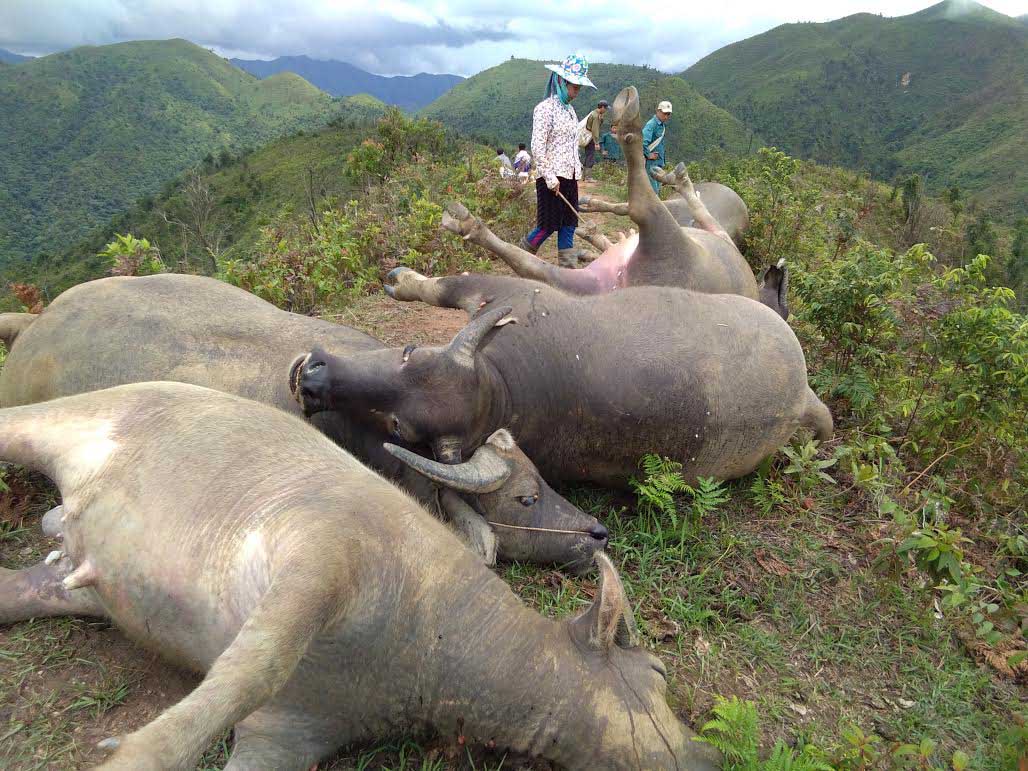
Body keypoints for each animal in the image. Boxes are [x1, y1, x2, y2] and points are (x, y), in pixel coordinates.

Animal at [0, 384, 723, 771]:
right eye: (659, 674)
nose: (713, 756)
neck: (430, 639)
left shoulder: (284, 735)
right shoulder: (323, 559)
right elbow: (252, 669)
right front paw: (133, 753)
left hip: (69, 584)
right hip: (59, 418)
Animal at [291, 271, 834, 485]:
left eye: (399, 427)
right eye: (407, 354)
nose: (314, 380)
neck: (505, 385)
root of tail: (799, 397)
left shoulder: (501, 288)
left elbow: (442, 284)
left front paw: (401, 280)